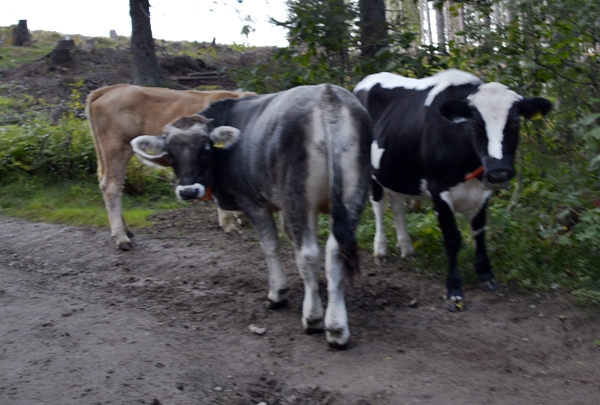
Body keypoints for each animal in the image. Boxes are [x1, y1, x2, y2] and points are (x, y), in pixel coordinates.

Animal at [85, 84, 252, 249]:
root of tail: (109, 89)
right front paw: (229, 224)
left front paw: (241, 216)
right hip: (116, 148)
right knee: (112, 186)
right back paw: (122, 238)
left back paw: (126, 231)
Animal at [131, 83, 372, 346]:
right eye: (170, 154)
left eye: (205, 149)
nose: (188, 191)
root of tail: (328, 97)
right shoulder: (286, 207)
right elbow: (293, 243)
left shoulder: (253, 203)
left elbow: (271, 246)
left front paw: (278, 292)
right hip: (352, 199)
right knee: (336, 253)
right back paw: (338, 327)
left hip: (299, 199)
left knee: (310, 253)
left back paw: (315, 319)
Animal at [352, 68, 552, 310]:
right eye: (474, 125)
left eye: (515, 123)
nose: (499, 171)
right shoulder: (439, 190)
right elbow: (452, 238)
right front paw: (454, 290)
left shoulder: (483, 191)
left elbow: (479, 231)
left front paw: (485, 275)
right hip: (370, 169)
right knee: (378, 206)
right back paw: (380, 251)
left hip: (394, 171)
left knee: (397, 206)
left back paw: (407, 249)